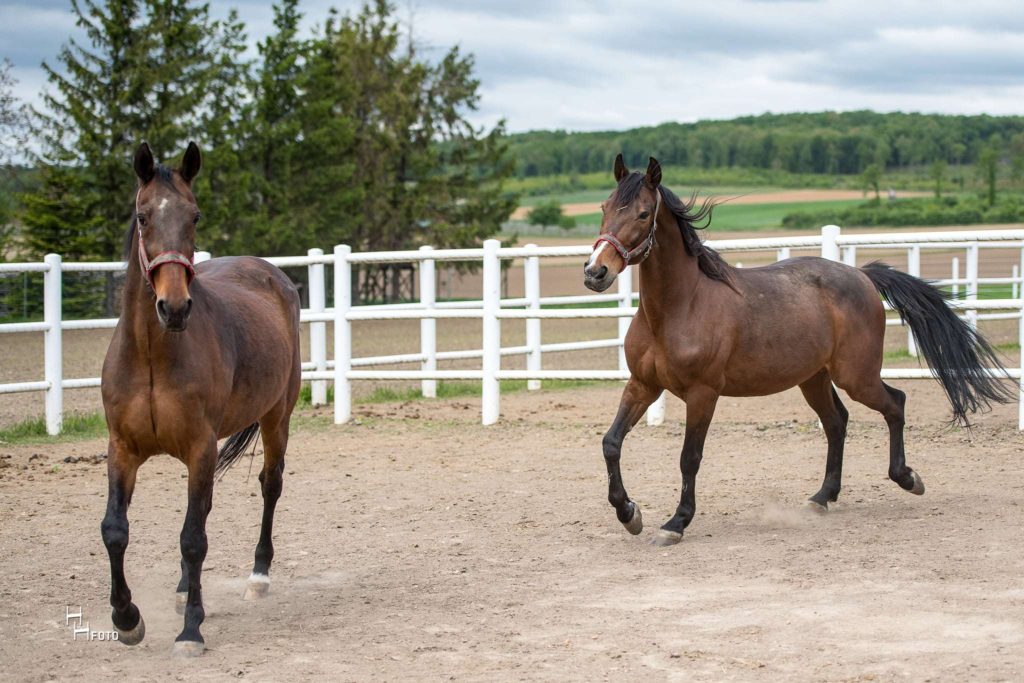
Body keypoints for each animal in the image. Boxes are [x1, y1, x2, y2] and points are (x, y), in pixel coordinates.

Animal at [100, 140, 299, 655]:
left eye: (195, 215)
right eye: (143, 216)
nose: (173, 307)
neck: (153, 356)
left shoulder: (199, 448)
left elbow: (193, 538)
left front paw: (191, 630)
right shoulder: (122, 449)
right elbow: (115, 530)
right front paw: (127, 618)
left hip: (276, 417)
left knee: (270, 485)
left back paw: (258, 578)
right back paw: (183, 588)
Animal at [581, 153, 1011, 544]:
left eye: (642, 214)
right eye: (604, 207)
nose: (595, 272)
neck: (679, 306)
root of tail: (862, 275)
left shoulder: (703, 394)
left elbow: (690, 458)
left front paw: (675, 523)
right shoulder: (642, 385)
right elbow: (610, 443)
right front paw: (629, 513)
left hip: (856, 377)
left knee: (895, 403)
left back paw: (907, 478)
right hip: (813, 379)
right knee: (837, 422)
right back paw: (822, 497)